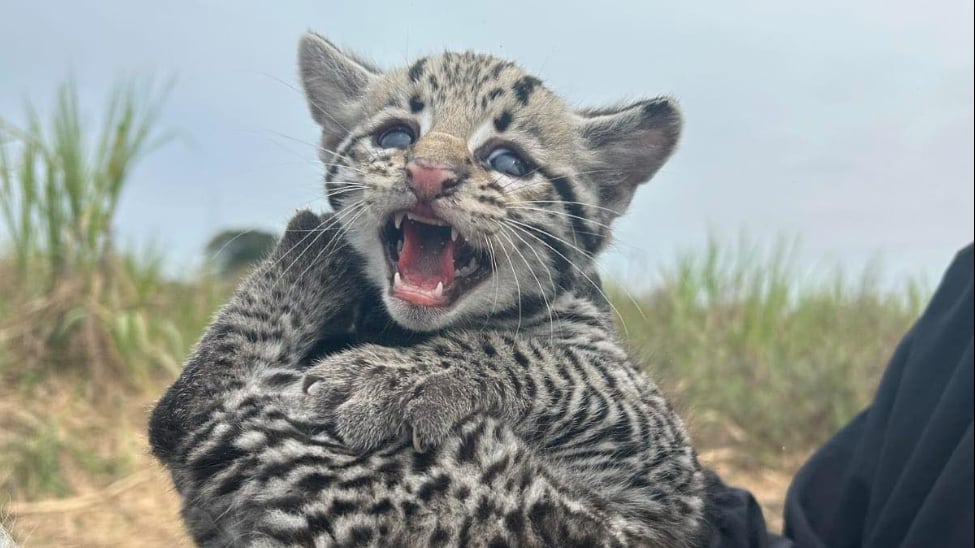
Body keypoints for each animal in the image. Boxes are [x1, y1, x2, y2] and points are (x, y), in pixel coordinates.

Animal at [149, 32, 704, 544]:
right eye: (396, 136)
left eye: (508, 162)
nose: (428, 173)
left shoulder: (663, 459)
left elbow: (554, 361)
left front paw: (396, 376)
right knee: (183, 407)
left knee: (188, 407)